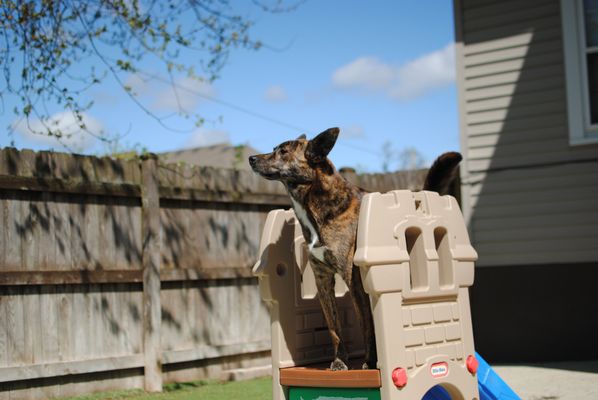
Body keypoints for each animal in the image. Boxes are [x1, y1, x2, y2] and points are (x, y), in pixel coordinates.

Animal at [251, 128, 462, 372]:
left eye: (283, 151)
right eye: (274, 148)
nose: (251, 159)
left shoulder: (354, 280)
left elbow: (366, 325)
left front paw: (370, 362)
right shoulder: (323, 280)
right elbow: (334, 328)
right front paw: (340, 361)